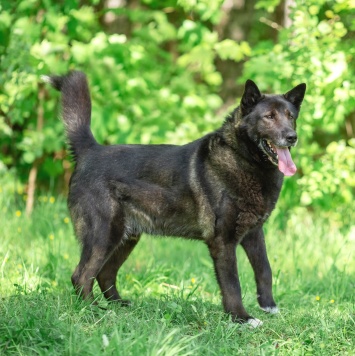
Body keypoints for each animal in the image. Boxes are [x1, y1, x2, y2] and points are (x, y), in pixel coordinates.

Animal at [43, 71, 306, 326]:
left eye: (290, 116)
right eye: (269, 117)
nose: (292, 136)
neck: (242, 159)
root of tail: (90, 151)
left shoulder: (254, 233)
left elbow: (265, 270)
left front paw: (269, 306)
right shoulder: (223, 241)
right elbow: (233, 284)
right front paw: (240, 318)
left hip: (126, 237)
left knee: (104, 273)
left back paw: (118, 306)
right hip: (104, 233)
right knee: (81, 275)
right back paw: (93, 310)